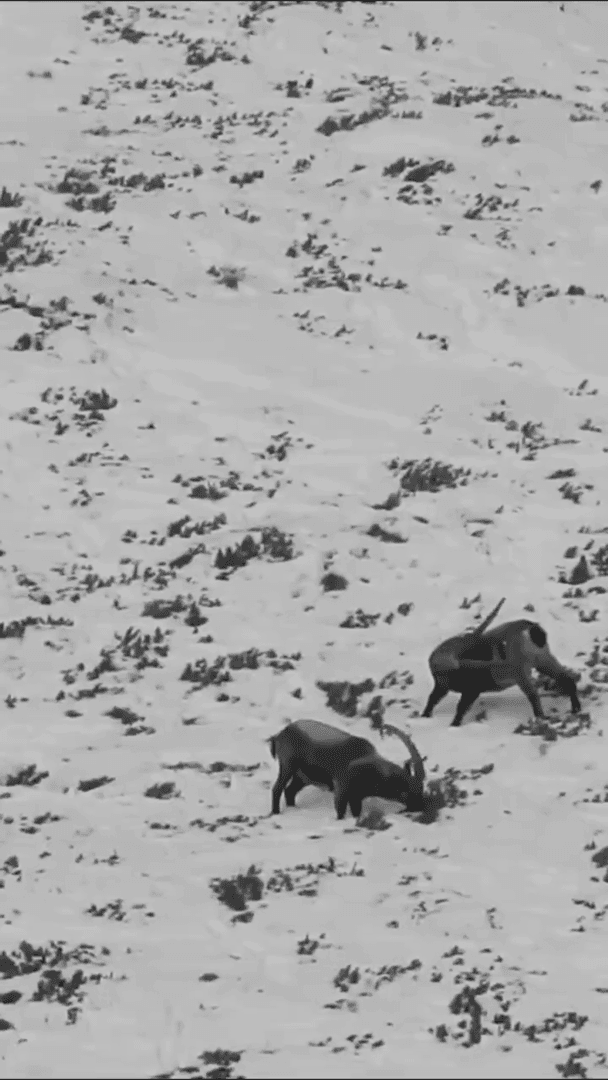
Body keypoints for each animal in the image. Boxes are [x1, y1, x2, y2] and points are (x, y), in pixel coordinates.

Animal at [268, 718, 426, 819]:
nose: (420, 807)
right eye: (410, 792)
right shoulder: (342, 789)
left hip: (302, 777)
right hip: (288, 766)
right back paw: (276, 812)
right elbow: (340, 812)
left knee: (290, 791)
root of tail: (280, 734)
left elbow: (356, 812)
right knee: (277, 789)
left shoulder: (356, 797)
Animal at [422, 598, 581, 726]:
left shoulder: (470, 690)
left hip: (522, 672)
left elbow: (460, 707)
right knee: (566, 679)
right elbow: (433, 700)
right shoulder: (444, 686)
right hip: (543, 661)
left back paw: (541, 717)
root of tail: (532, 629)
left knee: (534, 695)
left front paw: (454, 725)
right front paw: (425, 716)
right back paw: (575, 708)